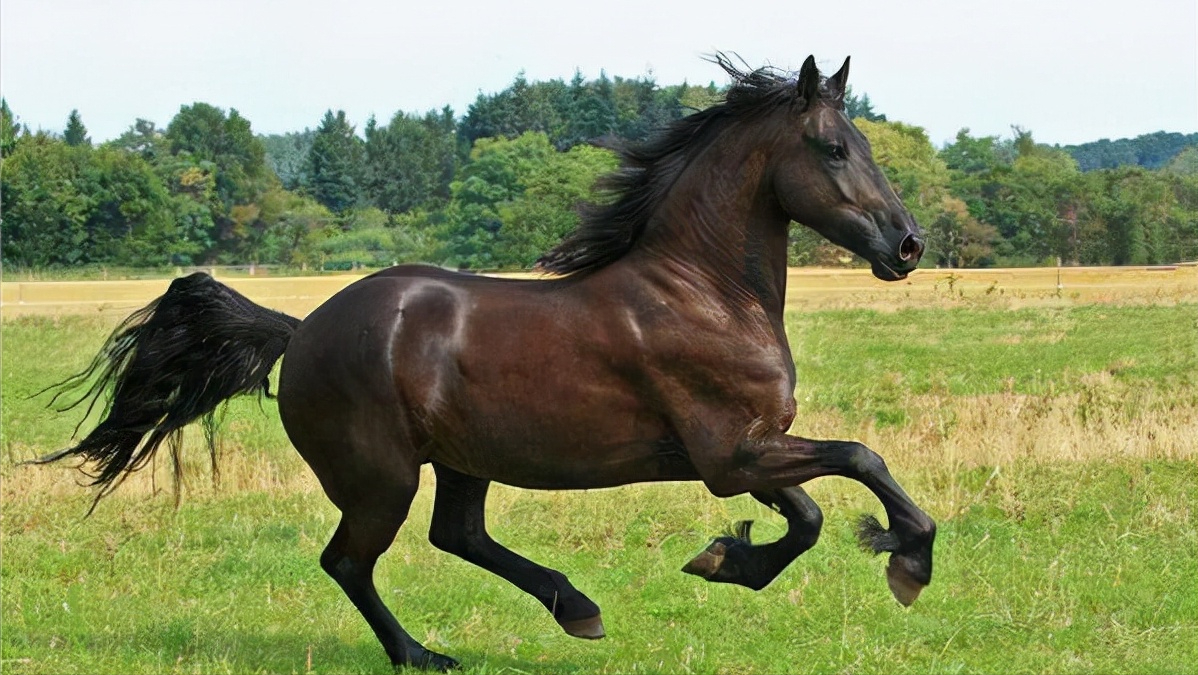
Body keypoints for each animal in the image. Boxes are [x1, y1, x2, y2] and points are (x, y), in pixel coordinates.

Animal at [35, 55, 934, 671]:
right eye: (831, 148)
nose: (907, 245)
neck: (702, 291)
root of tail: (302, 329)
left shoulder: (744, 450)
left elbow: (810, 513)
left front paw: (726, 559)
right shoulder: (729, 454)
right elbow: (860, 460)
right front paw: (907, 562)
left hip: (462, 459)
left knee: (457, 533)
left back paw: (576, 606)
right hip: (381, 475)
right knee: (350, 559)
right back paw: (424, 653)